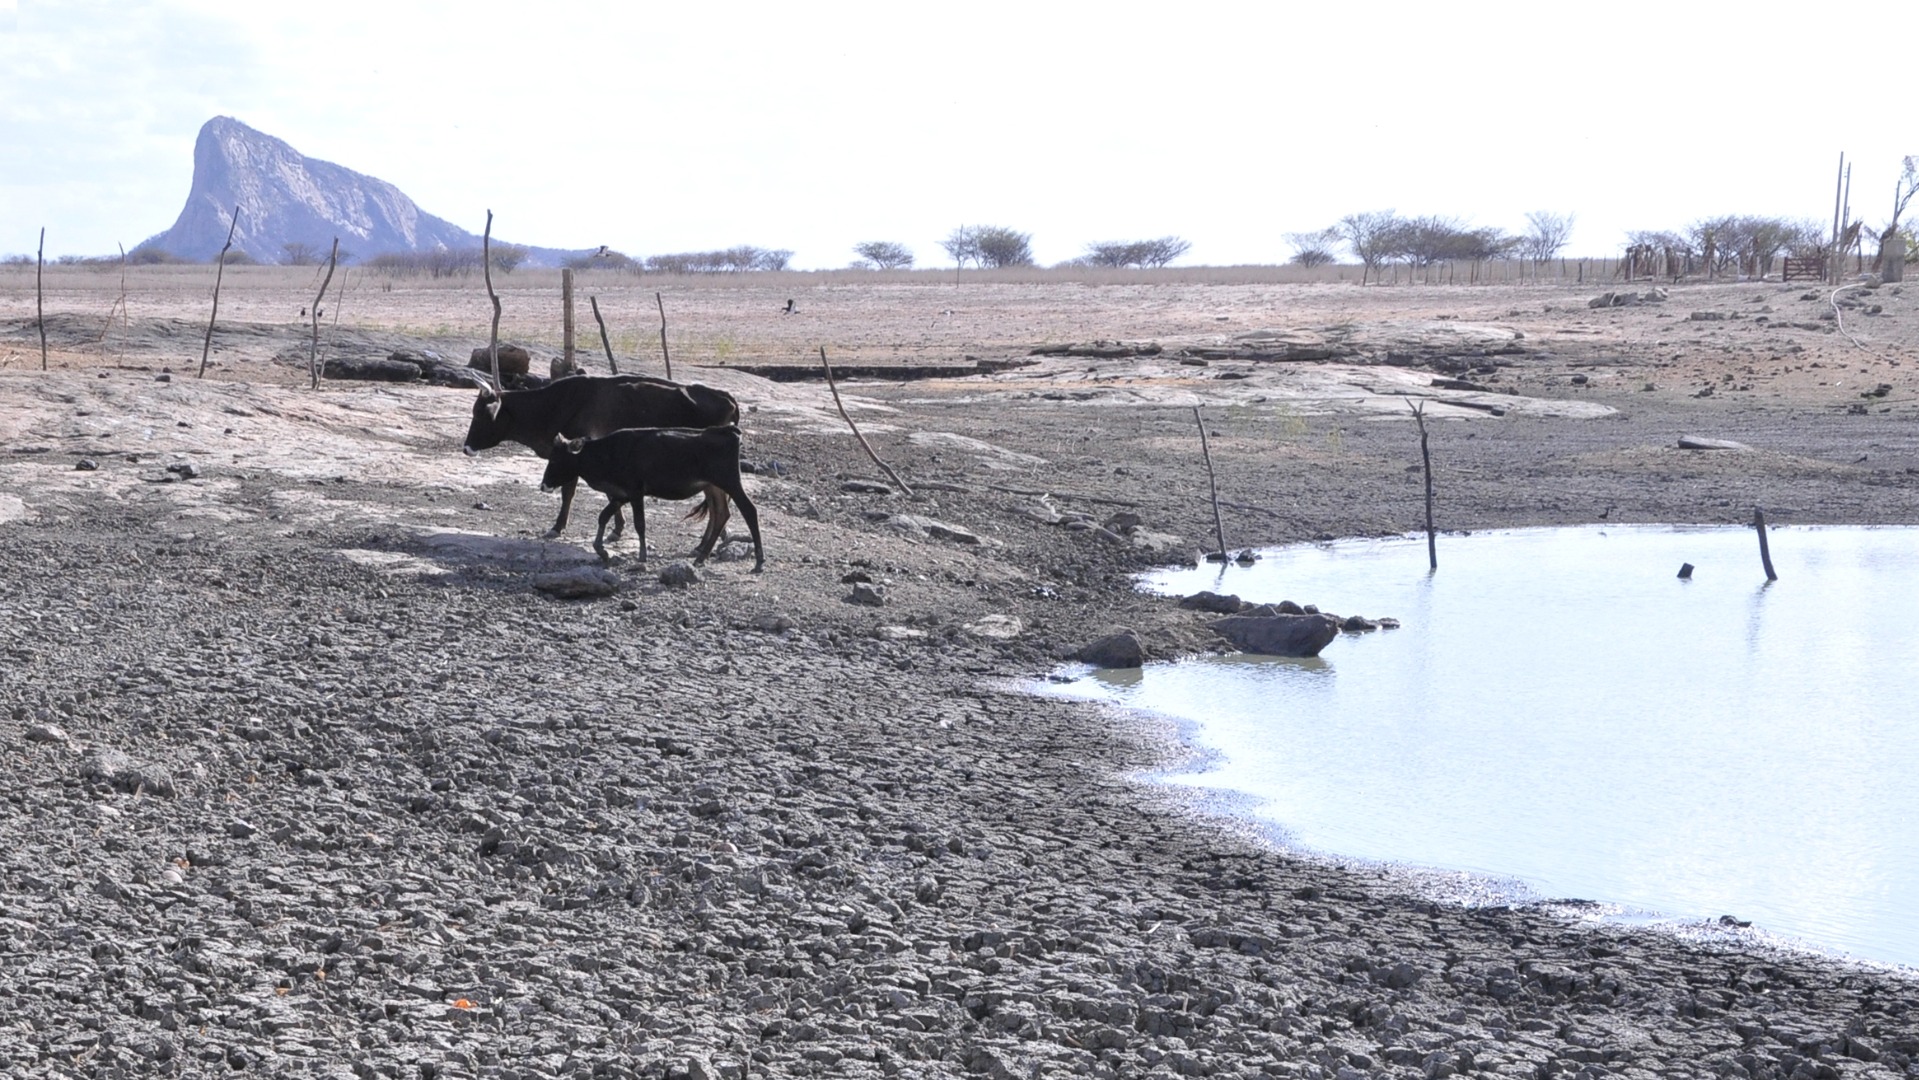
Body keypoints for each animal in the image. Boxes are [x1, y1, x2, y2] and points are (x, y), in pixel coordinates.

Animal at [541, 427, 763, 575]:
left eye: (555, 459)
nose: (543, 485)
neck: (608, 454)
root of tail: (730, 431)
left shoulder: (635, 492)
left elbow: (640, 524)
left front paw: (641, 556)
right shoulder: (621, 494)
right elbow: (603, 516)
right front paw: (602, 551)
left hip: (731, 482)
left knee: (749, 511)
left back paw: (759, 562)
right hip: (714, 487)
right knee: (721, 514)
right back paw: (701, 557)